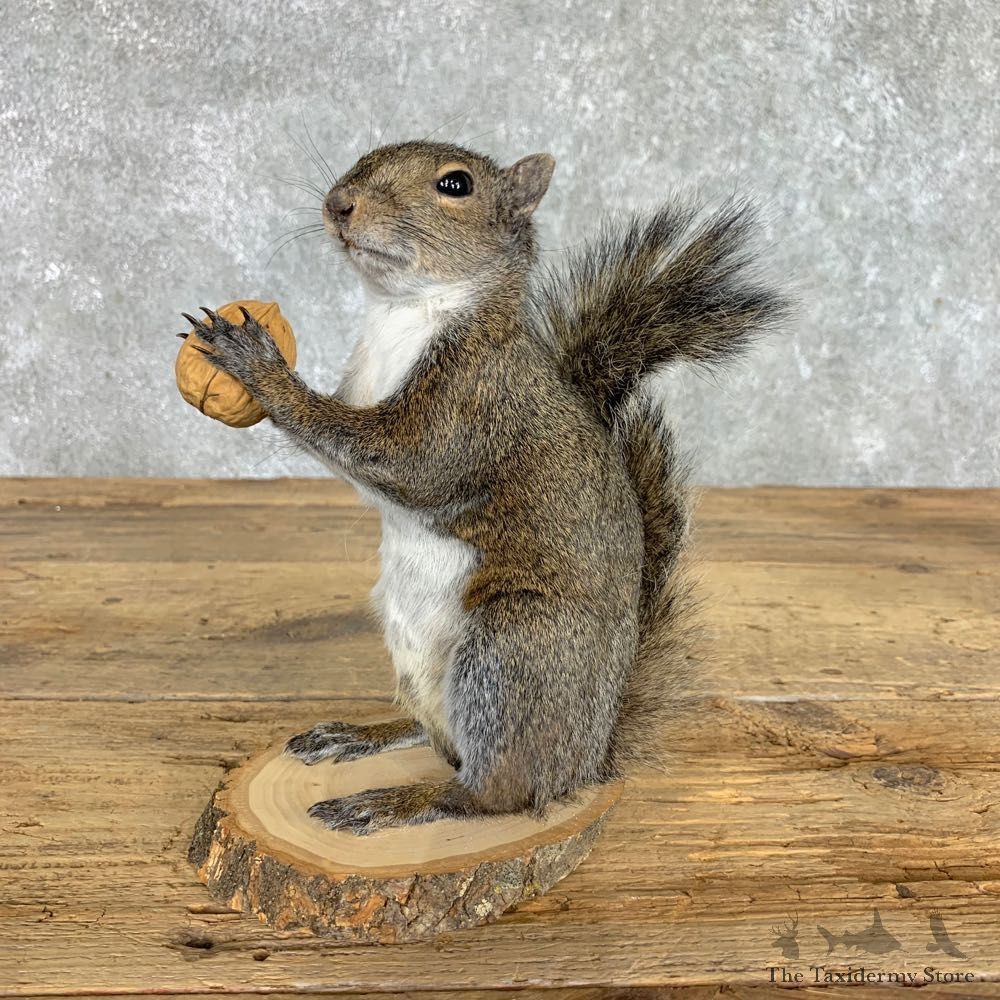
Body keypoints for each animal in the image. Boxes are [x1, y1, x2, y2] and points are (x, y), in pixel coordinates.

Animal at [183, 140, 786, 835]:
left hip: (512, 652)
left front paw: (259, 365)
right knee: (435, 737)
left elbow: (404, 462)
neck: (405, 312)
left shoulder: (472, 404)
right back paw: (361, 734)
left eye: (456, 185)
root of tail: (590, 755)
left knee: (491, 791)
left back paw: (395, 801)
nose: (338, 204)